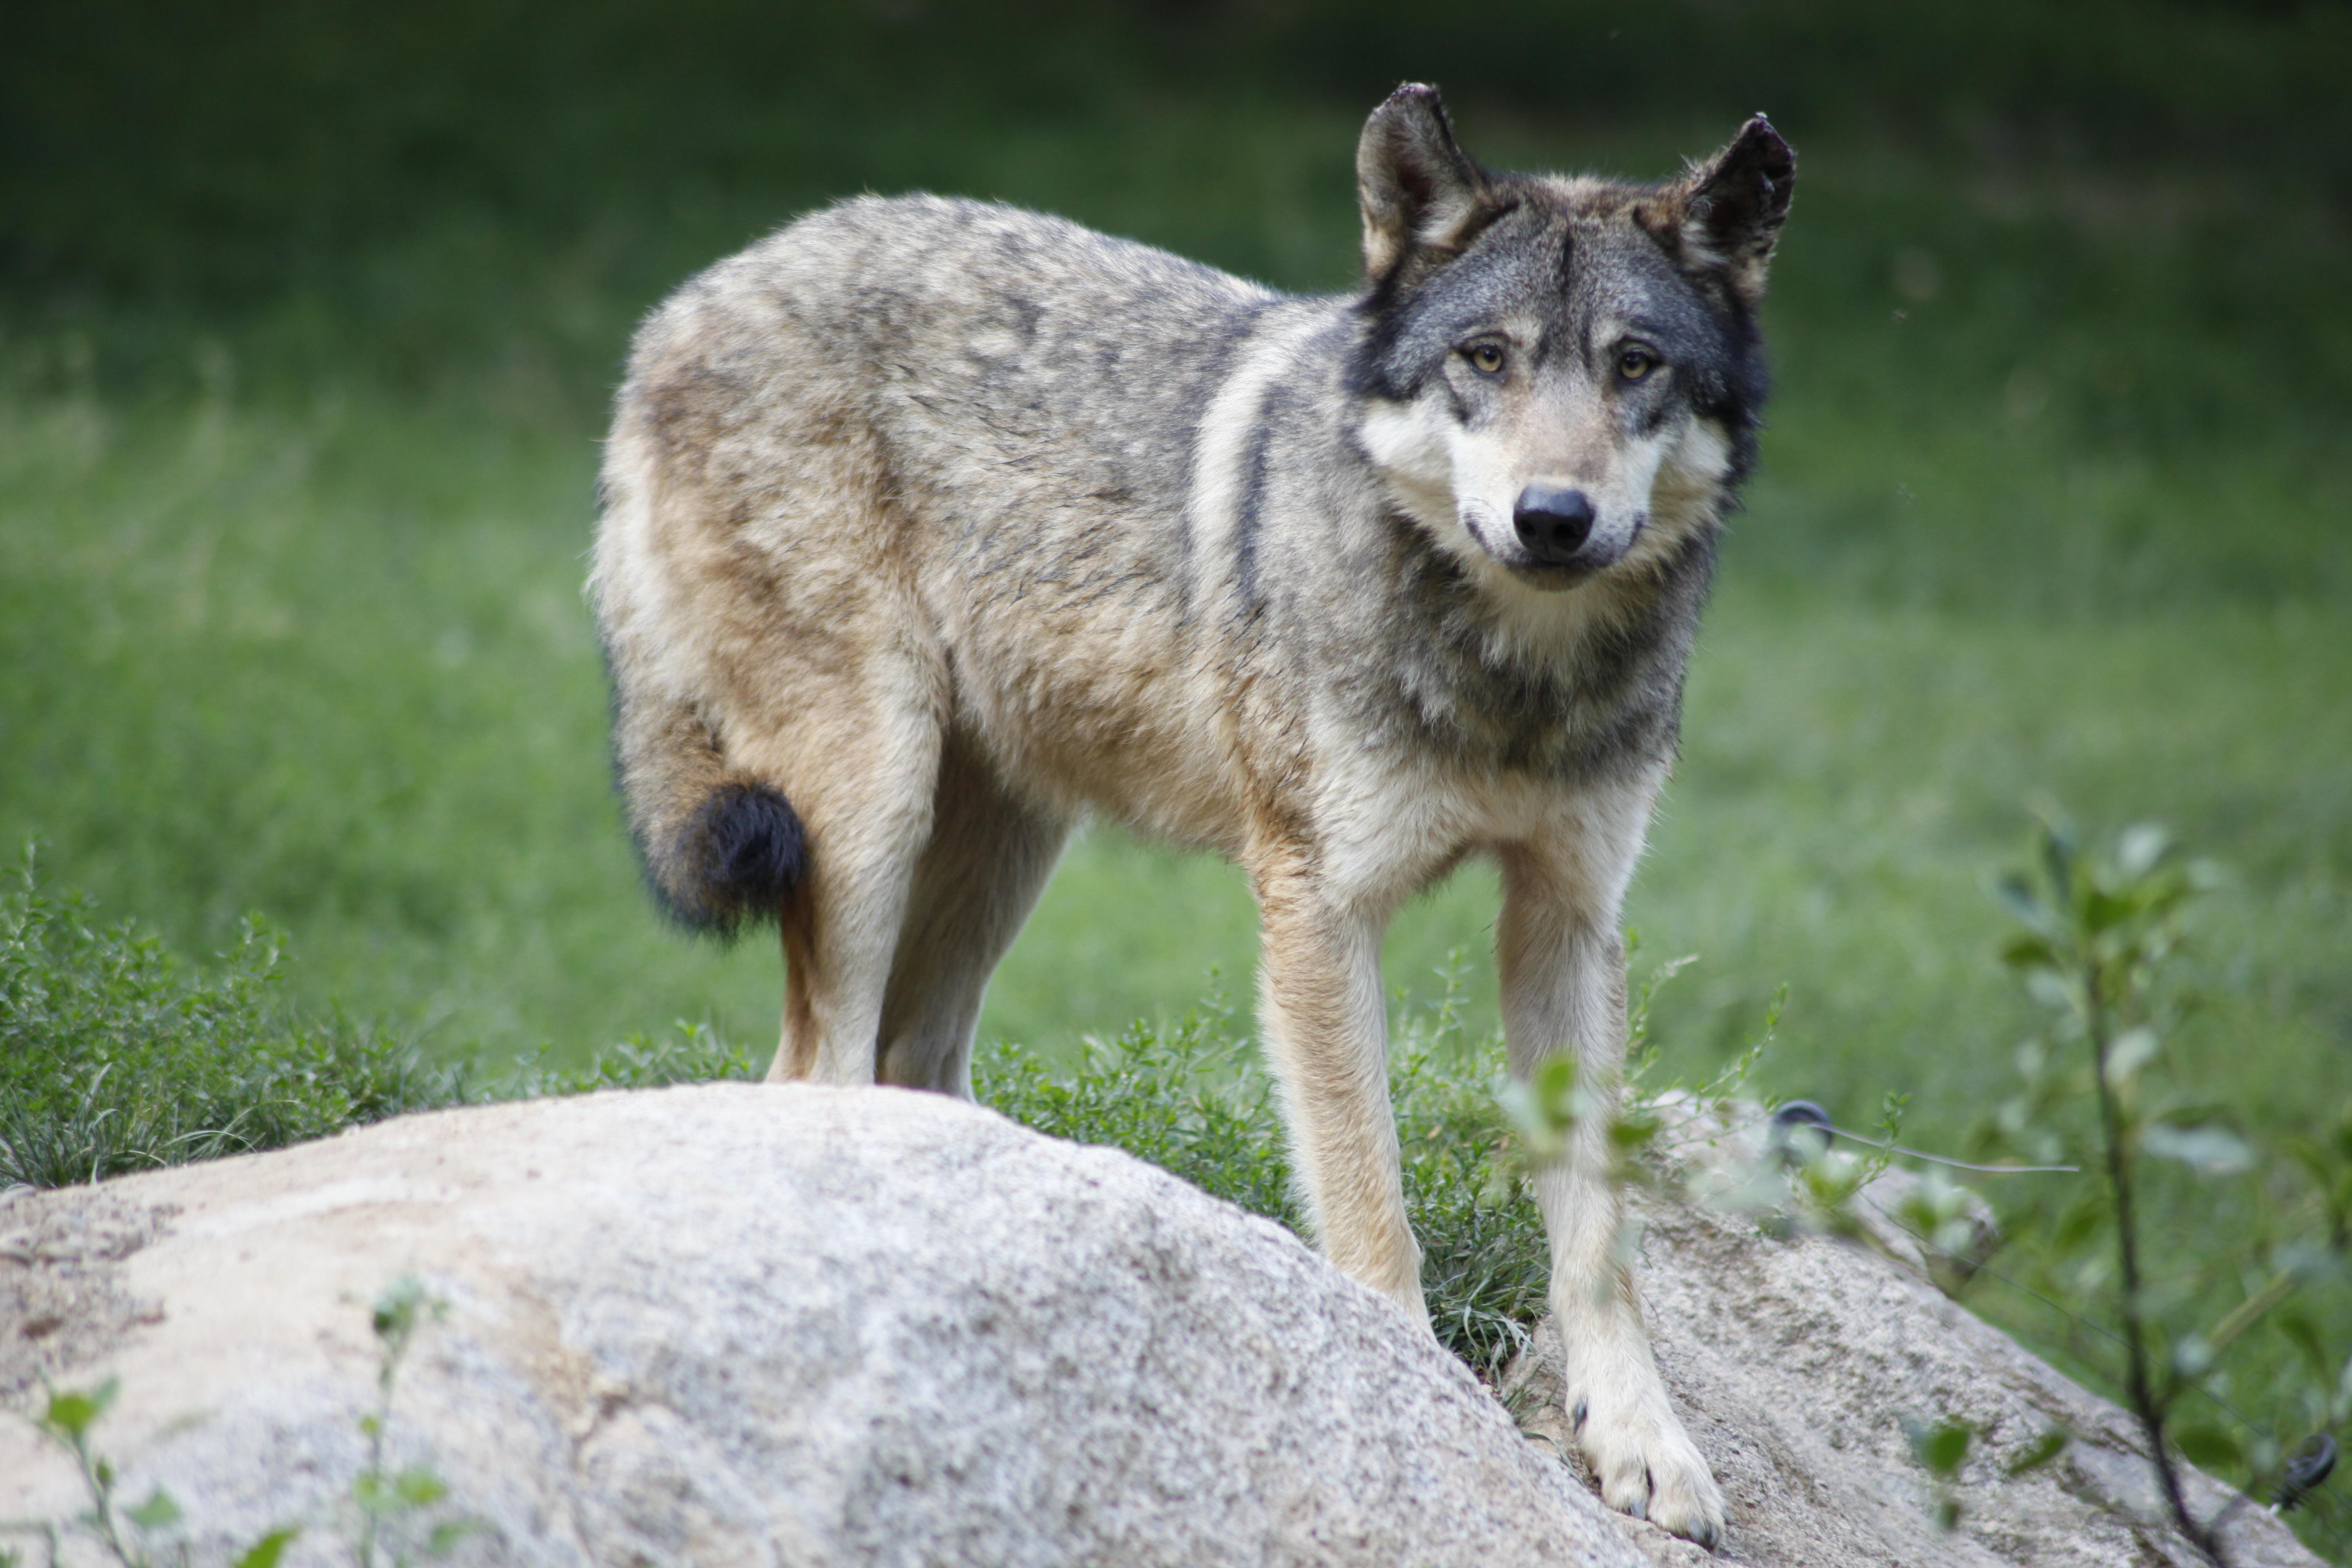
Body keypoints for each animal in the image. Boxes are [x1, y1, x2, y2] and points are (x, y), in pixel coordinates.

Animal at [593, 83, 1797, 1542]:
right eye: (1486, 359)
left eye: (1635, 367)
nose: (1553, 518)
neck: (1509, 679)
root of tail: (686, 300)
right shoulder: (1319, 912)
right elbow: (1369, 1202)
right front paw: (1410, 1402)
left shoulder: (1569, 920)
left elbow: (1600, 1238)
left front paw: (1642, 1442)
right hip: (866, 810)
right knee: (806, 1073)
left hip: (1001, 856)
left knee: (907, 1067)